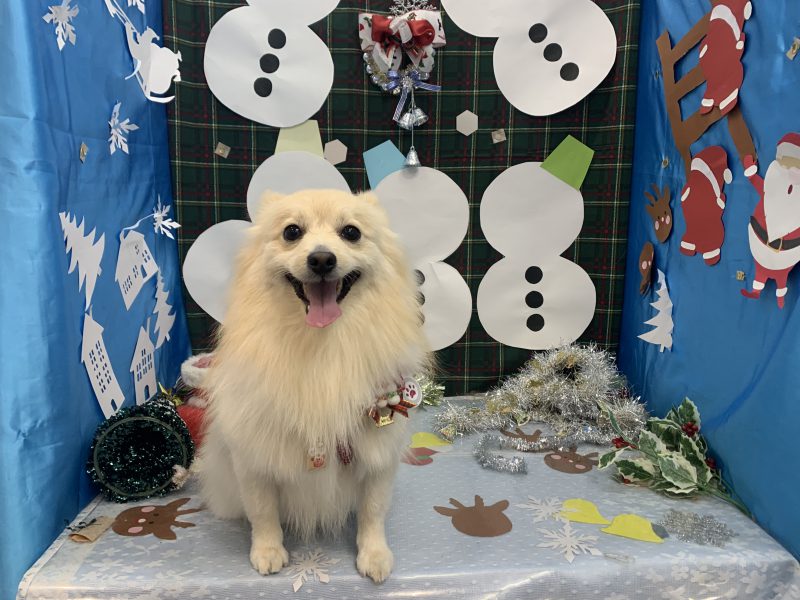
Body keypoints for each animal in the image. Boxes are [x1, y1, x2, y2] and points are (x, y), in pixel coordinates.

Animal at [199, 189, 429, 583]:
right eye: (292, 232)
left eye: (351, 232)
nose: (321, 258)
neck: (323, 344)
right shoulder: (254, 455)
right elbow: (262, 511)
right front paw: (268, 551)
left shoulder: (377, 453)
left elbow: (373, 510)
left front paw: (374, 554)